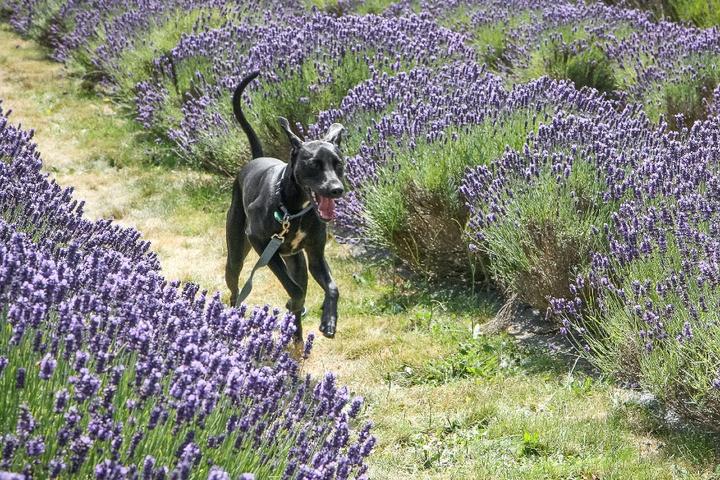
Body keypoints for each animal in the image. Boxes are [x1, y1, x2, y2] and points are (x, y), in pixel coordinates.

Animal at [226, 71, 348, 342]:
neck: (294, 210)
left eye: (338, 163)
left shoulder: (316, 256)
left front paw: (329, 319)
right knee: (234, 286)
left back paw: (297, 338)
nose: (337, 189)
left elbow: (332, 288)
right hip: (237, 251)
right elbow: (294, 289)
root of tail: (255, 160)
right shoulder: (262, 244)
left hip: (297, 261)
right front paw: (294, 303)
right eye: (314, 164)